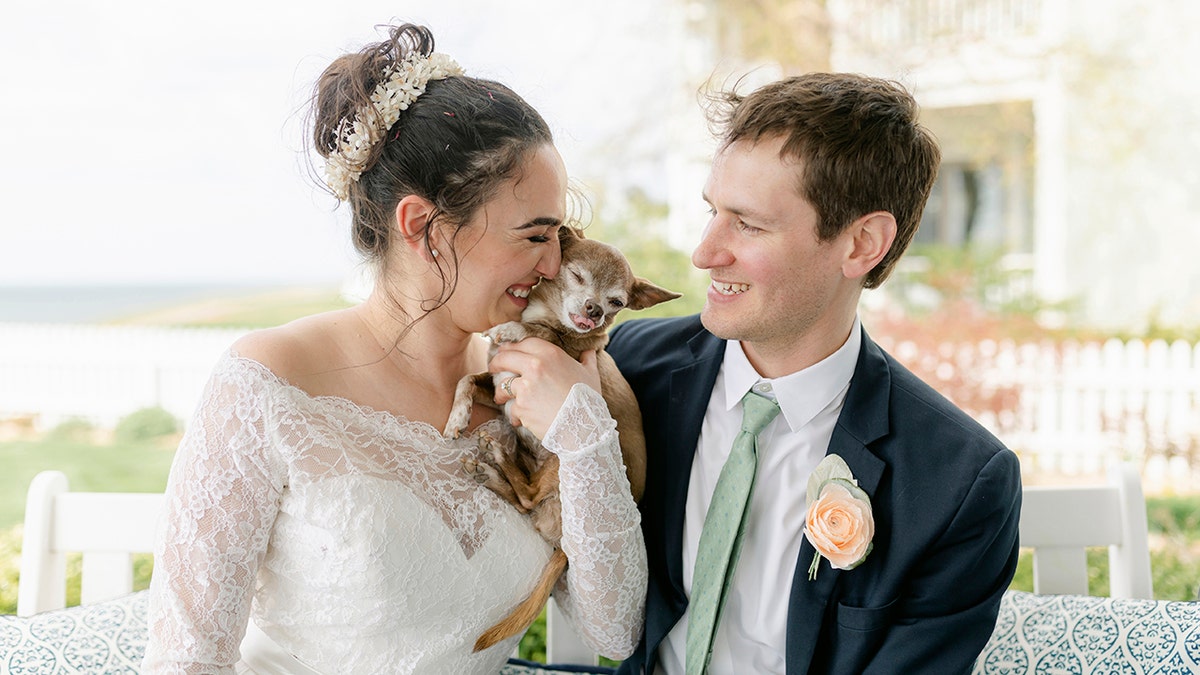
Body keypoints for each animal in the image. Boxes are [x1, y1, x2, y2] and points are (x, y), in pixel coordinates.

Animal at [446, 227, 681, 653]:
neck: (545, 314)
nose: (595, 310)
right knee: (524, 500)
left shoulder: (569, 351)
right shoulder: (500, 388)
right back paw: (494, 471)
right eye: (577, 276)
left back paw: (498, 460)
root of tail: (564, 546)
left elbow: (543, 334)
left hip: (563, 452)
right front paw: (457, 416)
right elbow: (468, 379)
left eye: (617, 302)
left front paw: (513, 329)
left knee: (529, 494)